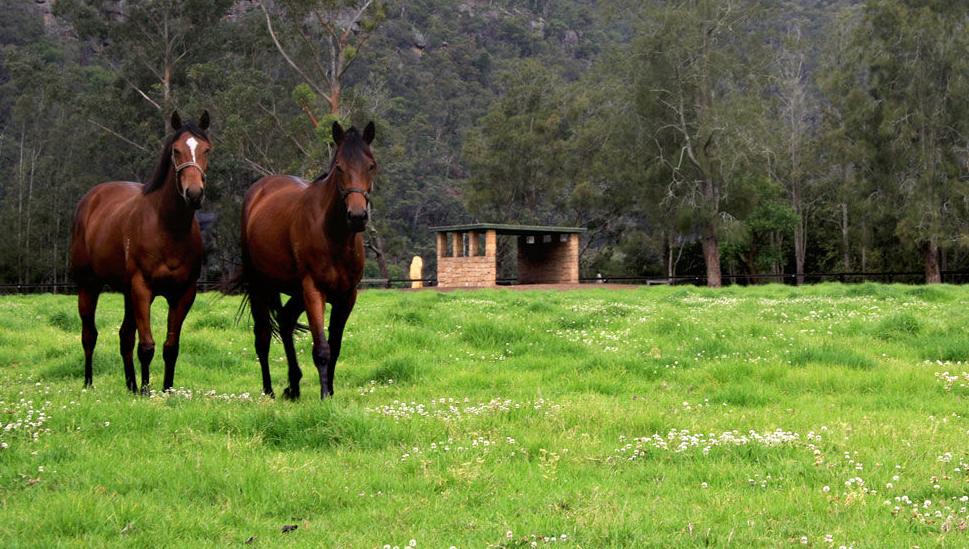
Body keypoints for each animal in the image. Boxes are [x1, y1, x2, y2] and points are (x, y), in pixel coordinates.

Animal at [69, 111, 212, 392]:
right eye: (176, 150)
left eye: (206, 149)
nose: (193, 193)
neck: (168, 228)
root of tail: (90, 199)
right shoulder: (143, 289)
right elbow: (146, 346)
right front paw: (147, 392)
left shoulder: (183, 293)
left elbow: (170, 347)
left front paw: (166, 390)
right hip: (89, 286)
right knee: (89, 335)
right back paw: (89, 383)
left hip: (127, 293)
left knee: (125, 336)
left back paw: (131, 386)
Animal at [238, 121, 378, 398]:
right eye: (339, 167)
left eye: (371, 165)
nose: (357, 216)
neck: (333, 235)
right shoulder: (314, 290)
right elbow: (322, 349)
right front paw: (324, 396)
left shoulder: (347, 296)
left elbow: (335, 345)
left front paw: (331, 392)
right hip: (260, 286)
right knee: (263, 336)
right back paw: (269, 391)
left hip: (295, 291)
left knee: (285, 320)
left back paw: (293, 385)